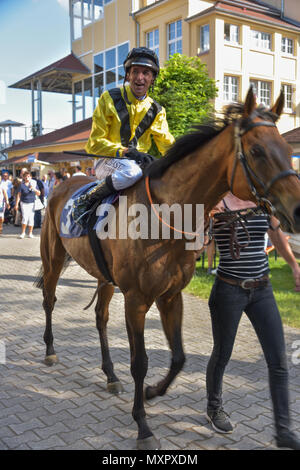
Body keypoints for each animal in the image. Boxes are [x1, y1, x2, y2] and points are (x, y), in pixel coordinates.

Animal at [36, 86, 300, 450]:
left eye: (289, 150)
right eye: (257, 150)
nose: (298, 209)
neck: (167, 215)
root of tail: (62, 184)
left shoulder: (171, 295)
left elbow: (179, 357)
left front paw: (151, 393)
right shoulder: (136, 299)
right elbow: (140, 362)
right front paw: (143, 426)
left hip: (105, 278)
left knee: (101, 318)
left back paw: (110, 374)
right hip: (54, 258)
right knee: (49, 300)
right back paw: (50, 351)